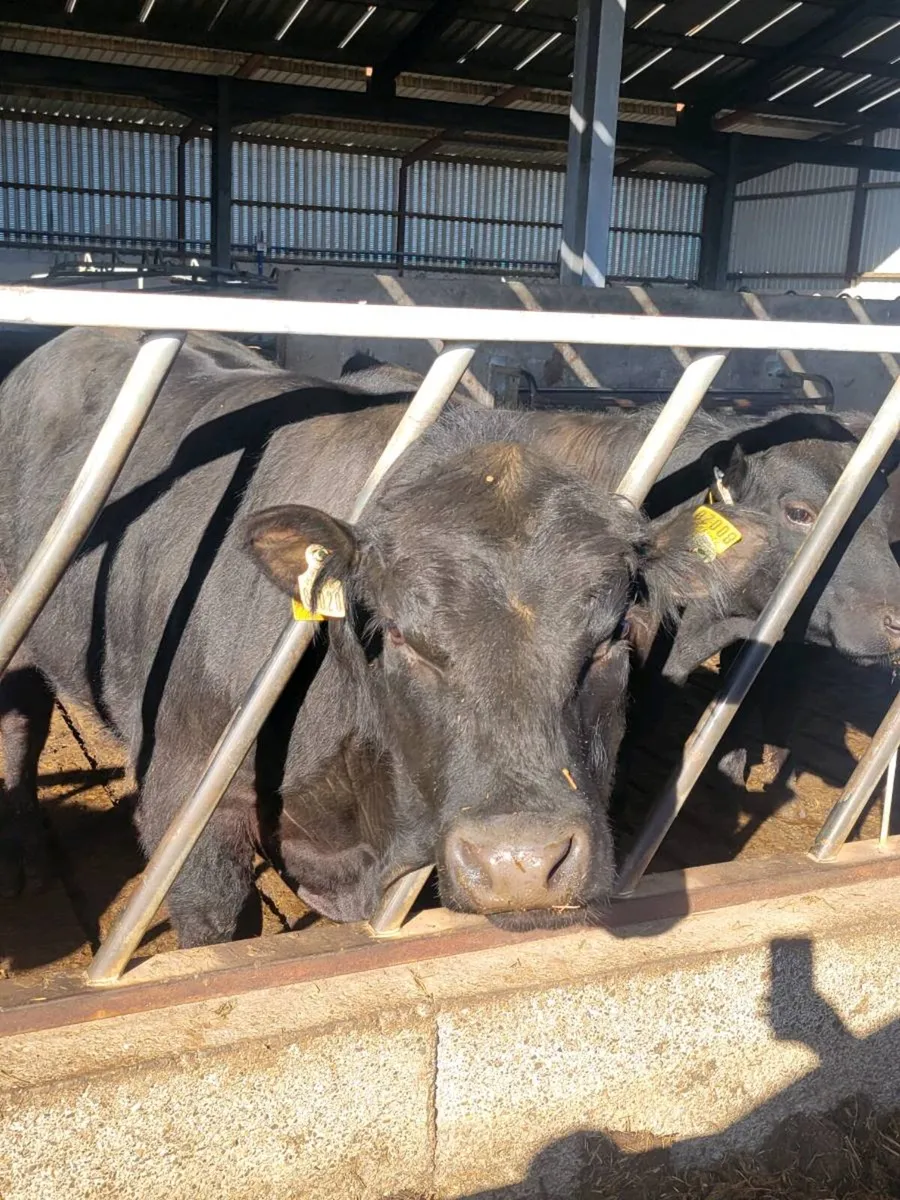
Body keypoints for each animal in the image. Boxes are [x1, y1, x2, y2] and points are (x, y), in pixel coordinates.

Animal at [0, 328, 746, 946]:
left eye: (614, 634)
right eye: (398, 636)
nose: (521, 864)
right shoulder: (185, 800)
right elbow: (217, 927)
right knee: (21, 727)